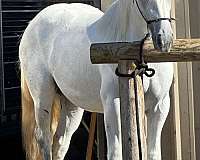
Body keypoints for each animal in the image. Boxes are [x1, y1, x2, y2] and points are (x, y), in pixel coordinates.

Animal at [19, 0, 174, 159]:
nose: (164, 39)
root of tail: (32, 23)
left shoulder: (159, 107)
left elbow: (153, 153)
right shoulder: (113, 104)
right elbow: (115, 152)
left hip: (72, 106)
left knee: (60, 141)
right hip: (43, 98)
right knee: (44, 137)